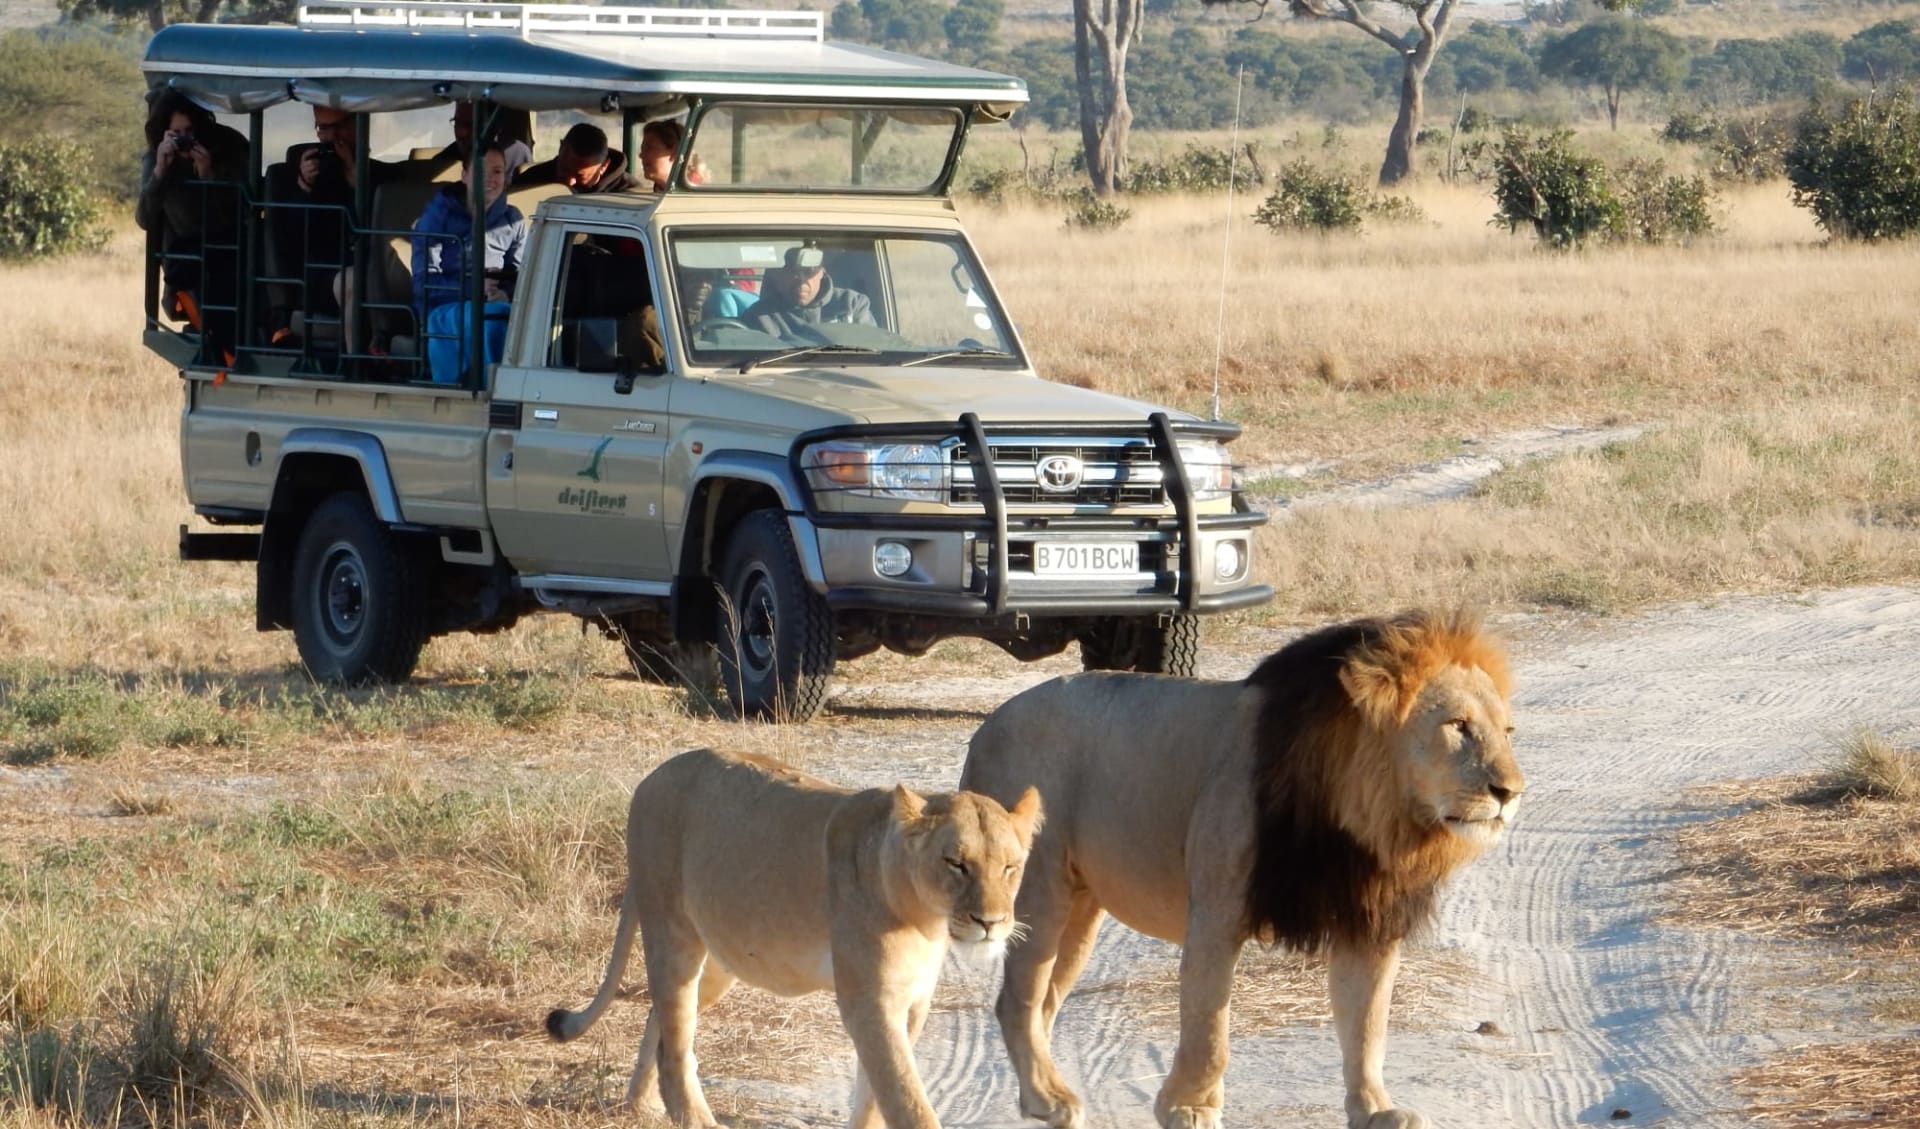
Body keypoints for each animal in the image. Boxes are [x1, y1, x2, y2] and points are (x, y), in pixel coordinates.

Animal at [549, 748, 1044, 1129]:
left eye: (1010, 867)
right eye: (956, 864)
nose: (991, 922)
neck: (926, 920)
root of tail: (652, 777)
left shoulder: (913, 1002)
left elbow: (873, 1098)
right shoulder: (870, 1001)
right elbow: (906, 1100)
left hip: (719, 959)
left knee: (662, 1024)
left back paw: (643, 1105)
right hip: (672, 934)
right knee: (675, 1045)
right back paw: (692, 1117)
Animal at [967, 606, 1520, 1129]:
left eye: (1507, 731)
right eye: (1458, 725)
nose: (1510, 792)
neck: (1374, 816)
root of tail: (986, 727)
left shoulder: (1367, 924)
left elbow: (1367, 1026)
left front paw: (1375, 1108)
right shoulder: (1216, 912)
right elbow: (1209, 1025)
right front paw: (1189, 1107)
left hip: (1081, 908)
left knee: (1042, 1003)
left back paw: (1041, 1099)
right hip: (1038, 891)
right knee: (1017, 1001)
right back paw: (1050, 1099)